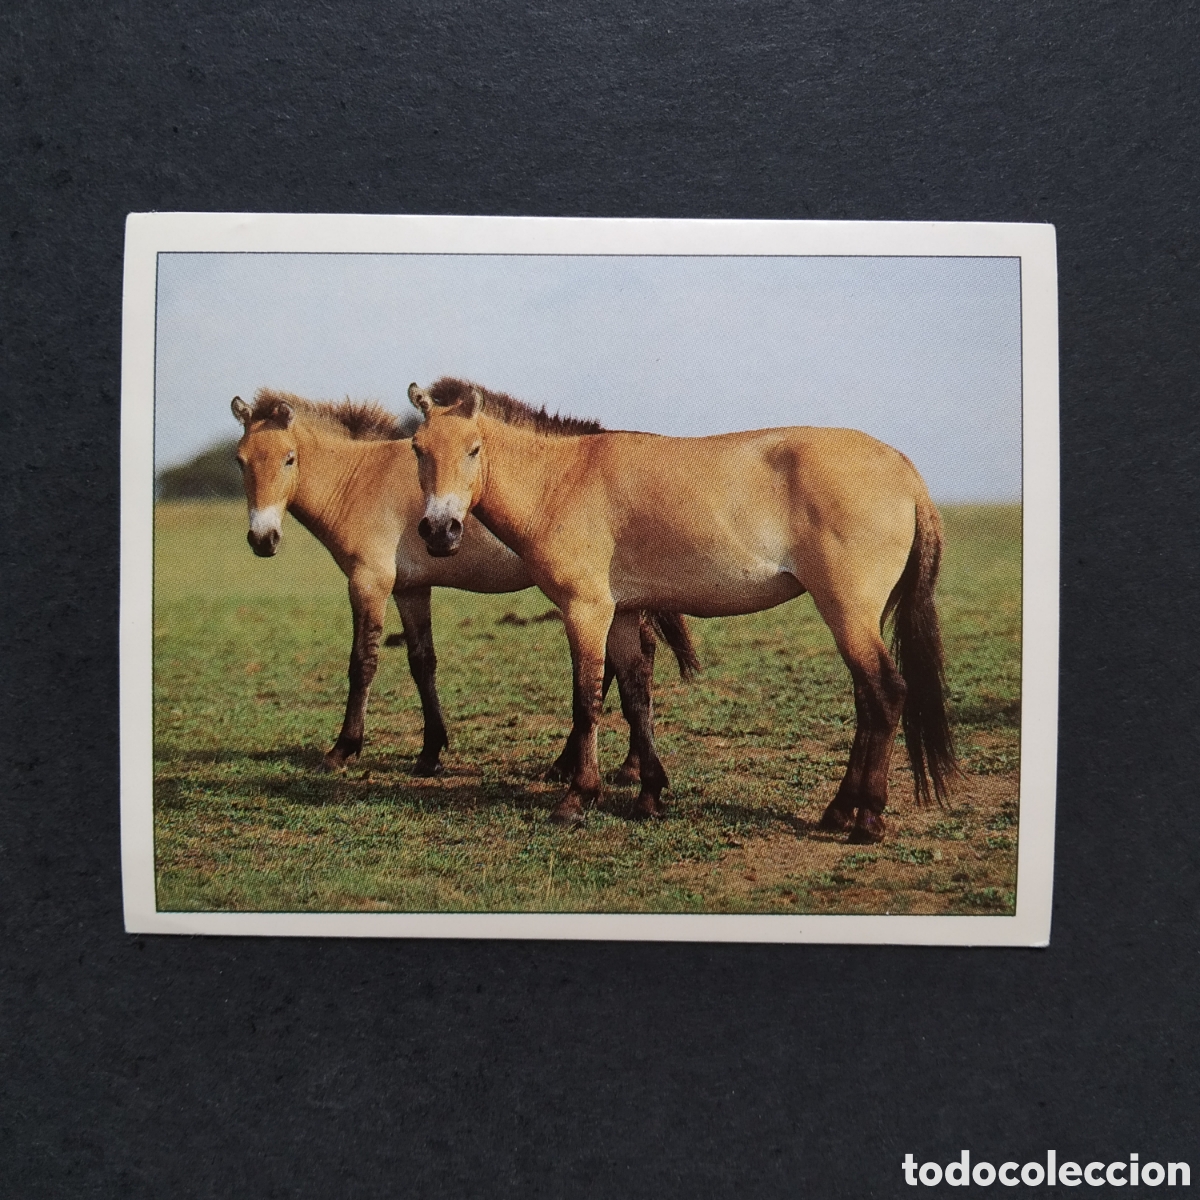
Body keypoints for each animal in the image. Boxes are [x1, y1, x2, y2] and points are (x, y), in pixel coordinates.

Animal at [231, 388, 698, 784]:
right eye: (240, 460)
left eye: (289, 458)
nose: (262, 539)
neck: (360, 480)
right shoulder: (410, 590)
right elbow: (422, 662)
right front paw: (429, 753)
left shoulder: (369, 583)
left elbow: (362, 662)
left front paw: (342, 749)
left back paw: (611, 766)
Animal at [407, 378, 957, 843]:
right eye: (418, 449)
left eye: (474, 449)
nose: (440, 530)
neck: (561, 480)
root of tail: (902, 468)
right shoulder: (623, 614)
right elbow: (636, 699)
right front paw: (649, 794)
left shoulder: (586, 611)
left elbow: (587, 701)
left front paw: (577, 798)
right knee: (868, 700)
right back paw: (840, 809)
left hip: (847, 610)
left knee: (885, 694)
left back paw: (867, 819)